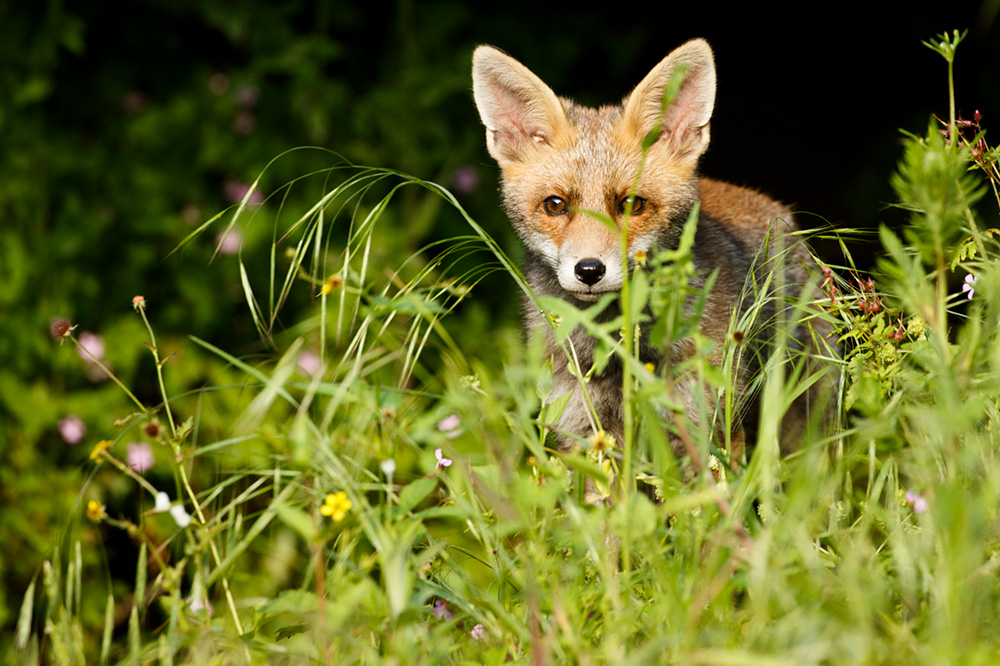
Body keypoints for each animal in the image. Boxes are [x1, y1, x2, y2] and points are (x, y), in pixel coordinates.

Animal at [471, 40, 833, 462]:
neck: (615, 351)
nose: (589, 270)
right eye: (555, 205)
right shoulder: (583, 429)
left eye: (632, 204)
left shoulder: (704, 424)